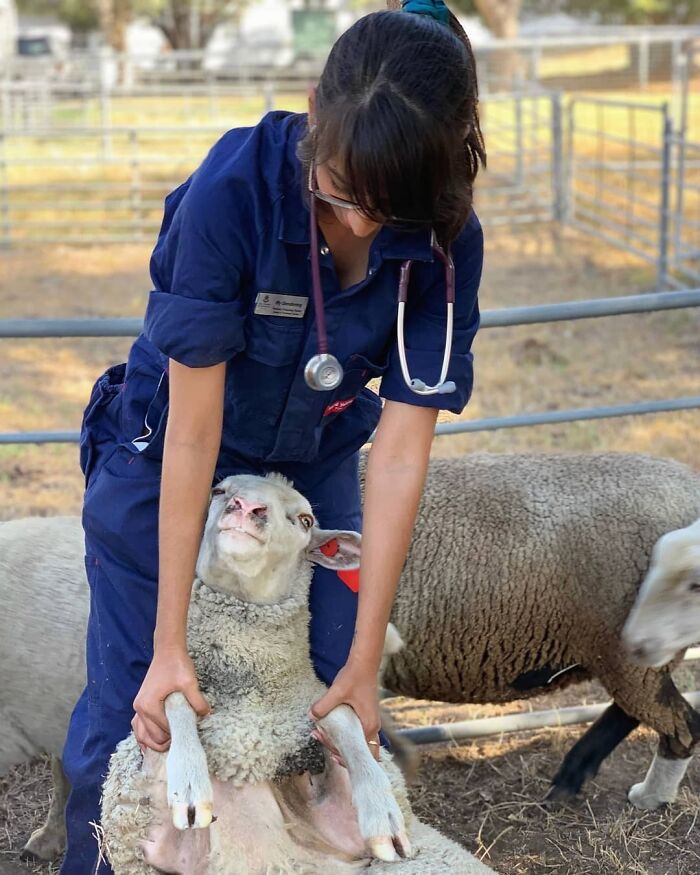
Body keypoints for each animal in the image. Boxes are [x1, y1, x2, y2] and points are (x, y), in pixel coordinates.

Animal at [100, 473, 495, 875]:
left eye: (305, 520)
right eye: (219, 490)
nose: (246, 507)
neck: (253, 688)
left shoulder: (315, 708)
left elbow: (342, 714)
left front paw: (382, 810)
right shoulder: (149, 763)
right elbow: (176, 696)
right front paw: (191, 782)